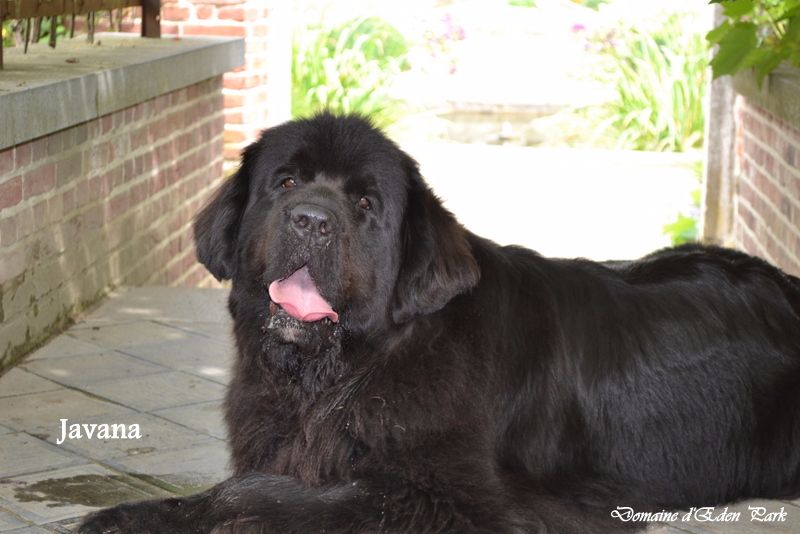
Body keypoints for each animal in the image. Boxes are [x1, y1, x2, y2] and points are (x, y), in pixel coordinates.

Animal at [79, 114, 800, 534]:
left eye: (365, 204)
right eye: (284, 183)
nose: (311, 219)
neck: (349, 371)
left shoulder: (457, 500)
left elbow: (275, 494)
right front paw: (133, 516)